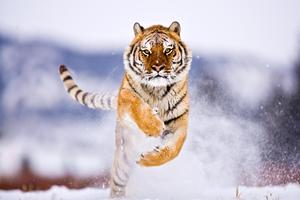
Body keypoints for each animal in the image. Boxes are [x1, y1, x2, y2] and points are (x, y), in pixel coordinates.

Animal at [58, 21, 192, 197]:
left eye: (168, 50)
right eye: (146, 51)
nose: (158, 67)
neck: (157, 90)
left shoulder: (179, 123)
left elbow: (173, 150)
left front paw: (146, 159)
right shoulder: (124, 96)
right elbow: (136, 103)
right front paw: (155, 126)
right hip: (123, 159)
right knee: (117, 184)